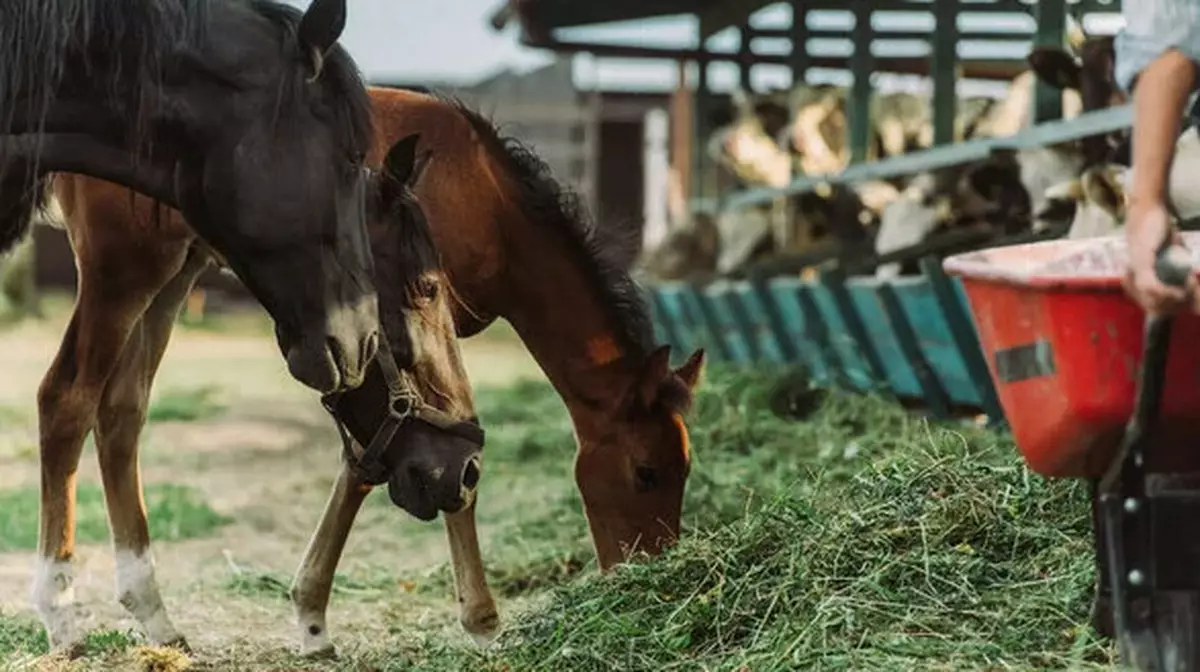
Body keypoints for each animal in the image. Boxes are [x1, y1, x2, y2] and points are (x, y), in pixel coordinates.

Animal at [32, 136, 494, 657]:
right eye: (428, 288)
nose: (468, 468)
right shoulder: (120, 265)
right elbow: (66, 399)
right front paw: (60, 615)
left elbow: (120, 406)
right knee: (71, 400)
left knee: (121, 410)